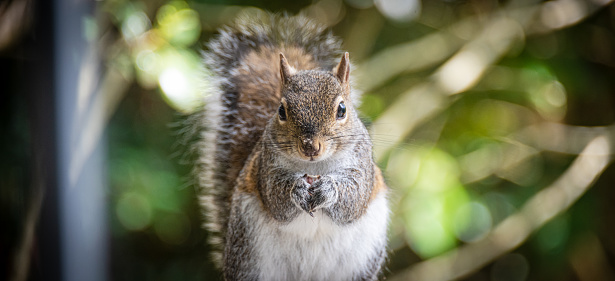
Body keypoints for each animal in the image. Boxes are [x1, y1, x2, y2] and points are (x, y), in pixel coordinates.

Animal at [195, 11, 390, 280]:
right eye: (281, 110)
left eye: (342, 110)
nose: (310, 147)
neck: (316, 167)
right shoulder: (266, 166)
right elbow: (275, 196)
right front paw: (295, 189)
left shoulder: (362, 165)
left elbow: (353, 197)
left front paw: (329, 189)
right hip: (248, 258)